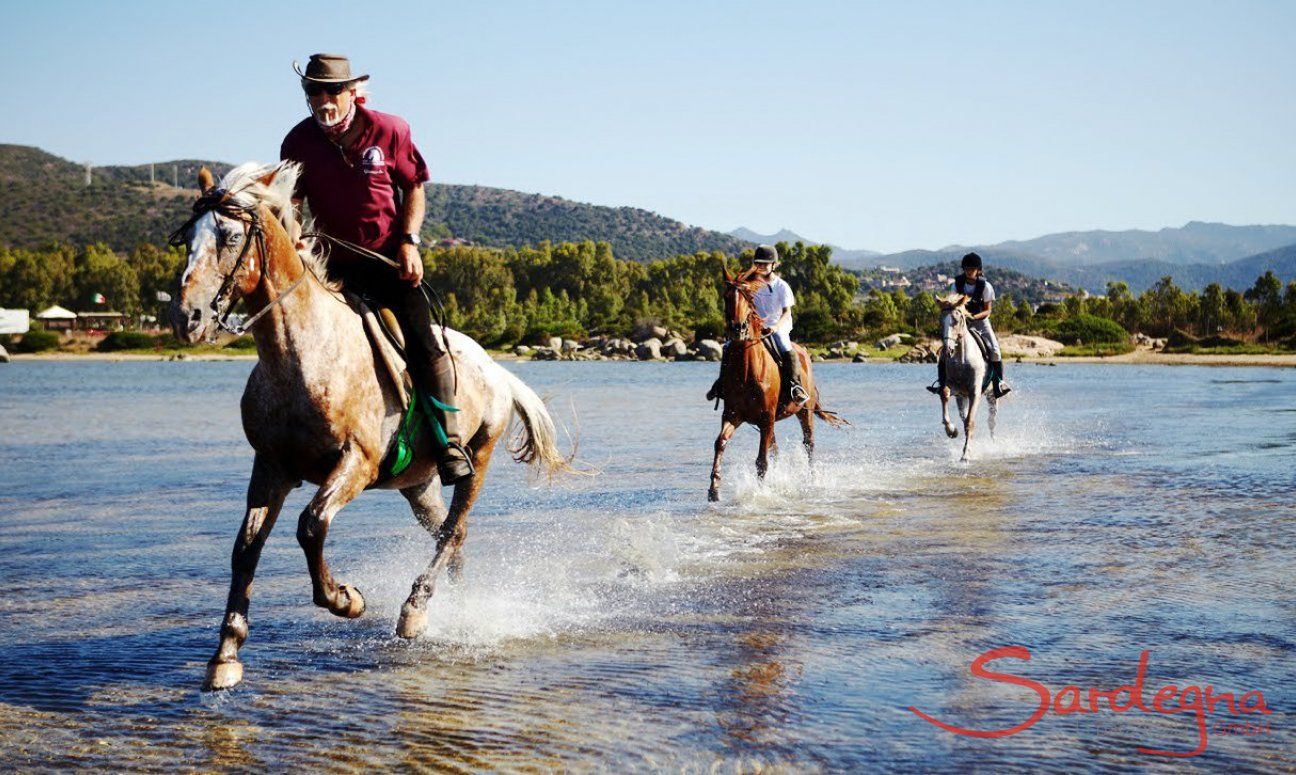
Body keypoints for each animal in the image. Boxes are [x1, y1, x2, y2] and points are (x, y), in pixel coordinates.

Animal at [168, 160, 567, 689]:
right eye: (187, 239)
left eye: (231, 236)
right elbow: (246, 547)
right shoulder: (270, 468)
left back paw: (414, 610)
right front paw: (226, 654)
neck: (302, 355)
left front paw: (346, 599)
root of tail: (497, 370)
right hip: (417, 484)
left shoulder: (355, 463)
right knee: (451, 533)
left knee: (453, 527)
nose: (185, 317)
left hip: (476, 460)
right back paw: (452, 607)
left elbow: (311, 525)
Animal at [710, 266, 850, 505]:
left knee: (808, 444)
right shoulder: (733, 414)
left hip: (804, 412)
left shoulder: (766, 418)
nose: (738, 329)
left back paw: (812, 480)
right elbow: (720, 442)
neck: (747, 371)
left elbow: (761, 461)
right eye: (726, 297)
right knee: (776, 449)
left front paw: (759, 494)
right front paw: (714, 489)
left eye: (748, 298)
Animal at [938, 292, 995, 461]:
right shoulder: (954, 387)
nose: (947, 351)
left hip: (991, 395)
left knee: (991, 421)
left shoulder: (975, 391)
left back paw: (993, 443)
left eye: (956, 321)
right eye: (941, 321)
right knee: (963, 417)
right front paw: (951, 430)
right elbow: (944, 393)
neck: (961, 358)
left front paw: (966, 455)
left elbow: (970, 421)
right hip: (961, 397)